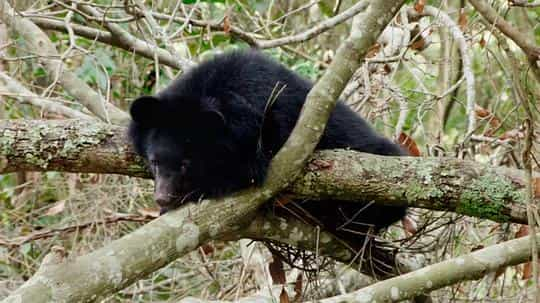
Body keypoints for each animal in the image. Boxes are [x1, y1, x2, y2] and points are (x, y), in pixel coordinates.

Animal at [129, 51, 408, 266]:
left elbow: (246, 171)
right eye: (154, 161)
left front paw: (193, 193)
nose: (162, 197)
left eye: (186, 164)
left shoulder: (266, 130)